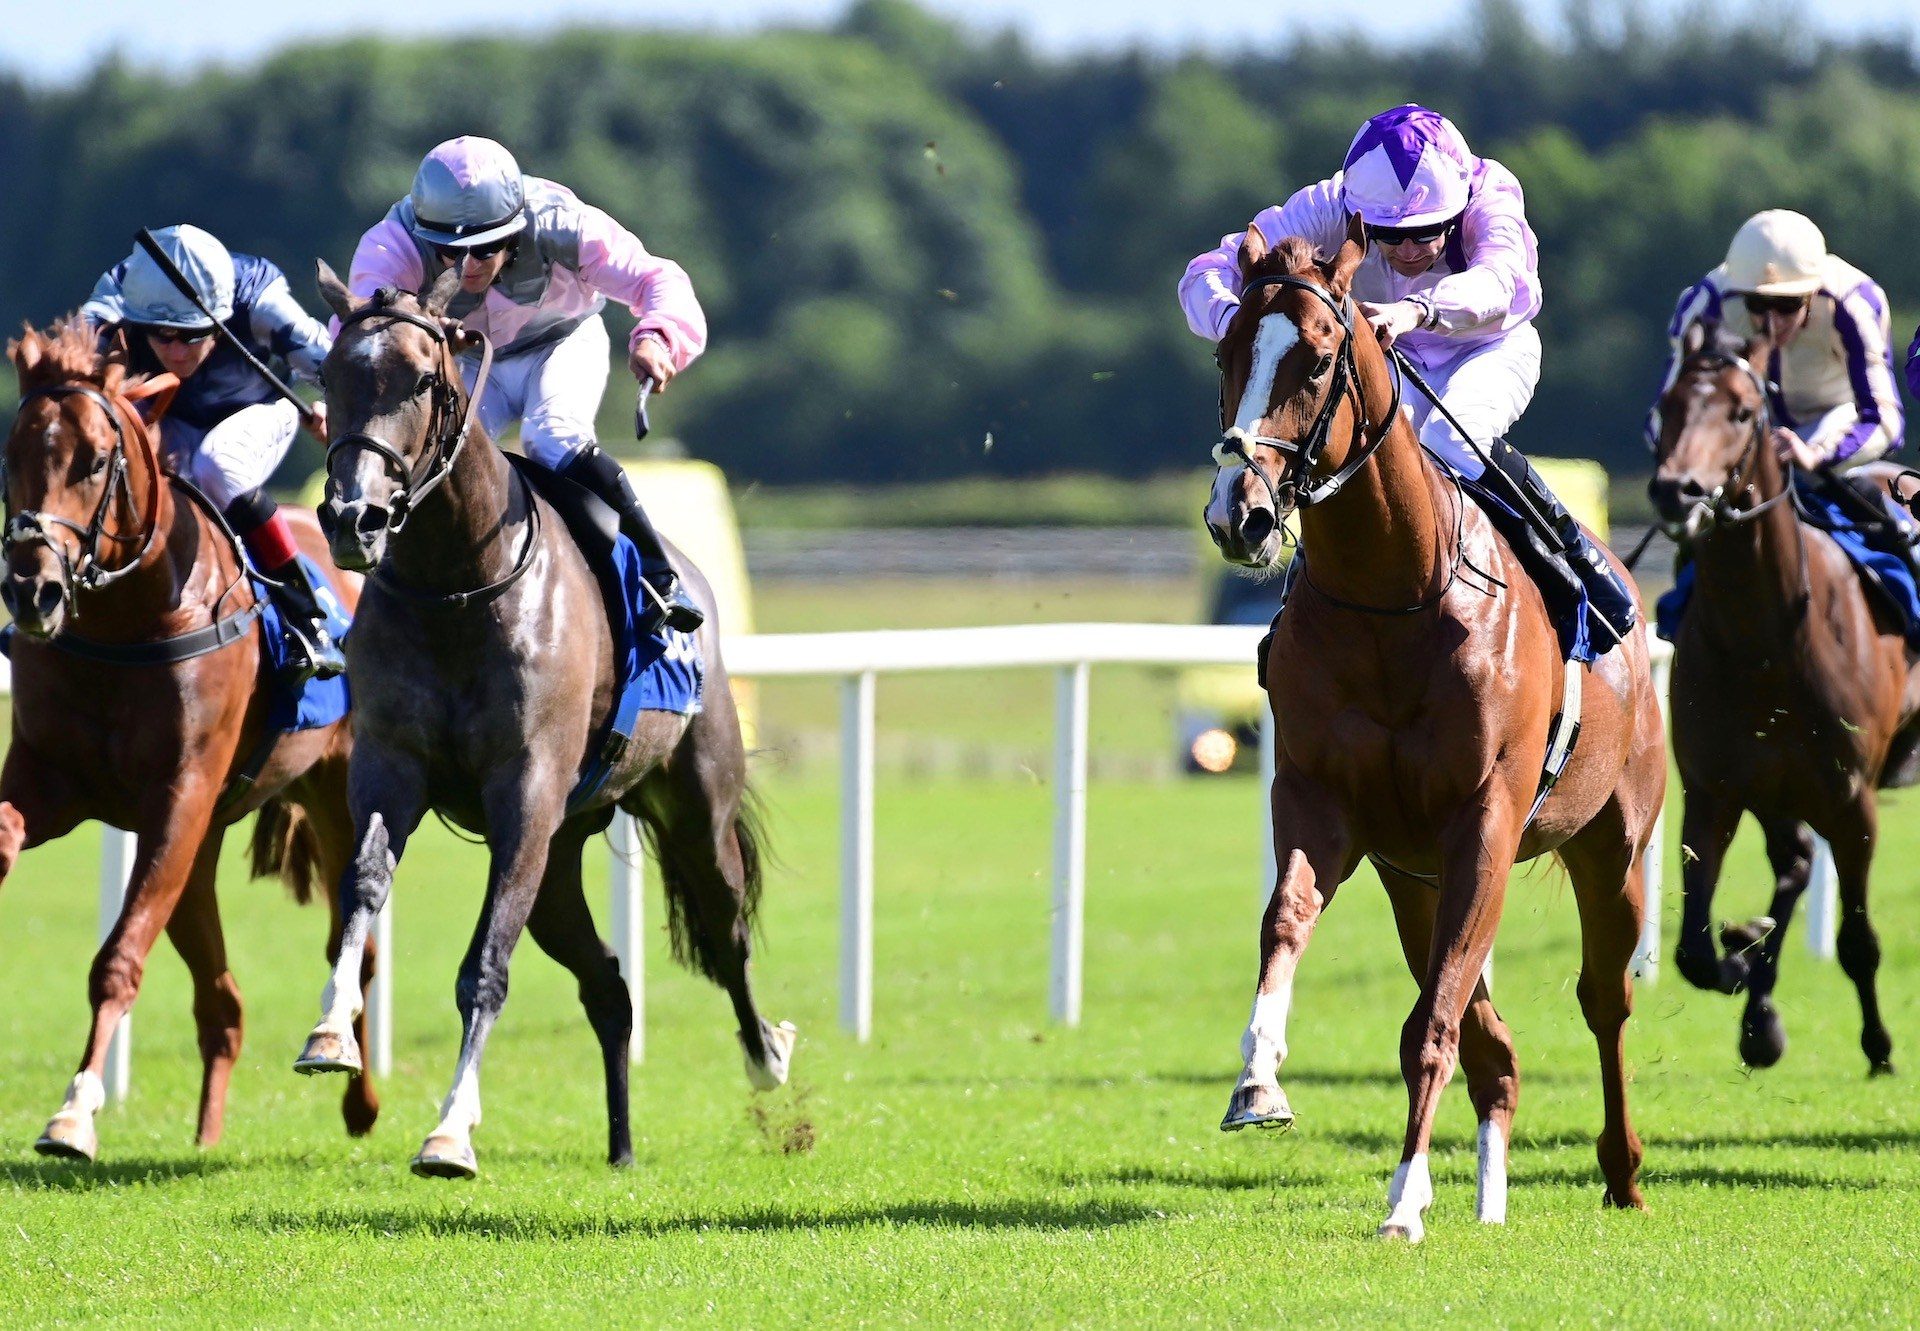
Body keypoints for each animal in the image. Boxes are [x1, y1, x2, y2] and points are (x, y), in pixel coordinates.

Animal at [1, 318, 374, 1152]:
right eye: (11, 454)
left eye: (95, 460)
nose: (32, 590)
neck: (127, 620)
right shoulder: (51, 781)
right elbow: (6, 833)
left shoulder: (179, 796)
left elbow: (117, 959)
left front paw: (73, 1113)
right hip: (202, 849)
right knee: (223, 999)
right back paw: (206, 1133)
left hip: (337, 795)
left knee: (353, 947)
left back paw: (356, 1088)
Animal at [295, 265, 791, 1175]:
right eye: (331, 374)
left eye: (421, 380)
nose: (353, 519)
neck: (458, 583)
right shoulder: (391, 762)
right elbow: (363, 883)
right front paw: (330, 1033)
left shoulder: (524, 791)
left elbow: (486, 965)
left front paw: (451, 1130)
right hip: (560, 855)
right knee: (608, 982)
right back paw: (622, 1144)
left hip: (691, 806)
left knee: (725, 929)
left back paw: (766, 1054)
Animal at [1213, 225, 1666, 1236]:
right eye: (1226, 354)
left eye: (1315, 360)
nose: (1241, 513)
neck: (1394, 593)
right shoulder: (1326, 804)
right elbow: (1284, 921)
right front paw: (1258, 1081)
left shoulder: (1484, 820)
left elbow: (1433, 1026)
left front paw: (1404, 1198)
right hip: (1414, 878)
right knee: (1494, 1044)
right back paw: (1490, 1200)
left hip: (1610, 844)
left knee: (1603, 999)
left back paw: (1622, 1170)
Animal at [1651, 318, 1920, 1067]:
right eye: (1669, 403)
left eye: (1743, 412)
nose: (1677, 491)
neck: (1764, 642)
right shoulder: (1714, 791)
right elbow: (1692, 952)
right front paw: (1742, 961)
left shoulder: (1852, 800)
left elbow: (1858, 941)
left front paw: (1880, 1044)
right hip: (1775, 790)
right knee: (1794, 863)